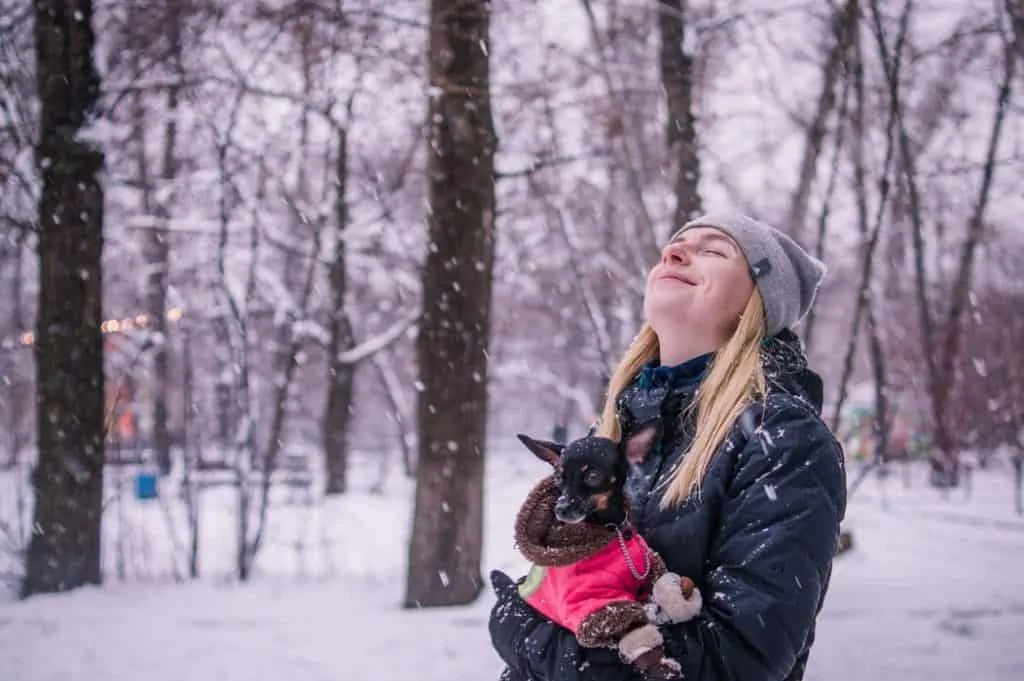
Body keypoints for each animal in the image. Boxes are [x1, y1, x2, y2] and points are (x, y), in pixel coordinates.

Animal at [516, 428, 700, 675]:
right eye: (558, 478)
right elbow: (636, 637)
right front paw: (661, 667)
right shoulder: (597, 604)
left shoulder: (649, 571)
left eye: (593, 476)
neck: (614, 531)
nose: (560, 508)